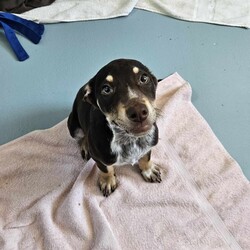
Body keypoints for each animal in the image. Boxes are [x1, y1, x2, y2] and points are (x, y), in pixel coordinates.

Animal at [67, 59, 161, 197]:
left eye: (144, 78)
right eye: (106, 89)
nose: (139, 112)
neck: (129, 139)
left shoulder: (149, 144)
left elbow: (146, 157)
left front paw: (149, 170)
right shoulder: (99, 158)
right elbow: (106, 169)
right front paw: (108, 181)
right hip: (73, 126)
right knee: (82, 136)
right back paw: (85, 146)